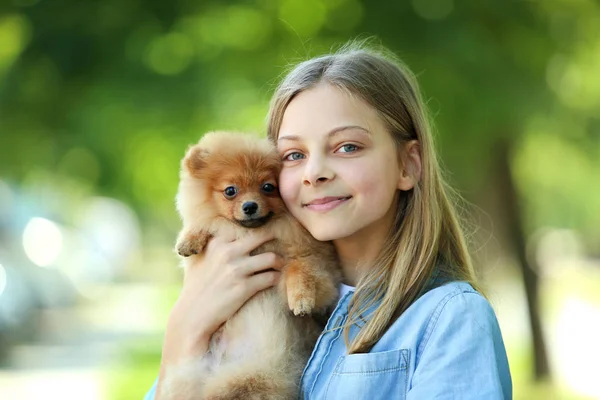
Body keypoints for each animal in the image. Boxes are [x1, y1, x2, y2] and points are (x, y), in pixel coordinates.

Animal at [162, 132, 340, 400]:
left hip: (253, 376)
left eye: (268, 187)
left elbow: (301, 271)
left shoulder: (314, 258)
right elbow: (206, 222)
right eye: (230, 191)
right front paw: (189, 239)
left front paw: (301, 298)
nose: (250, 206)